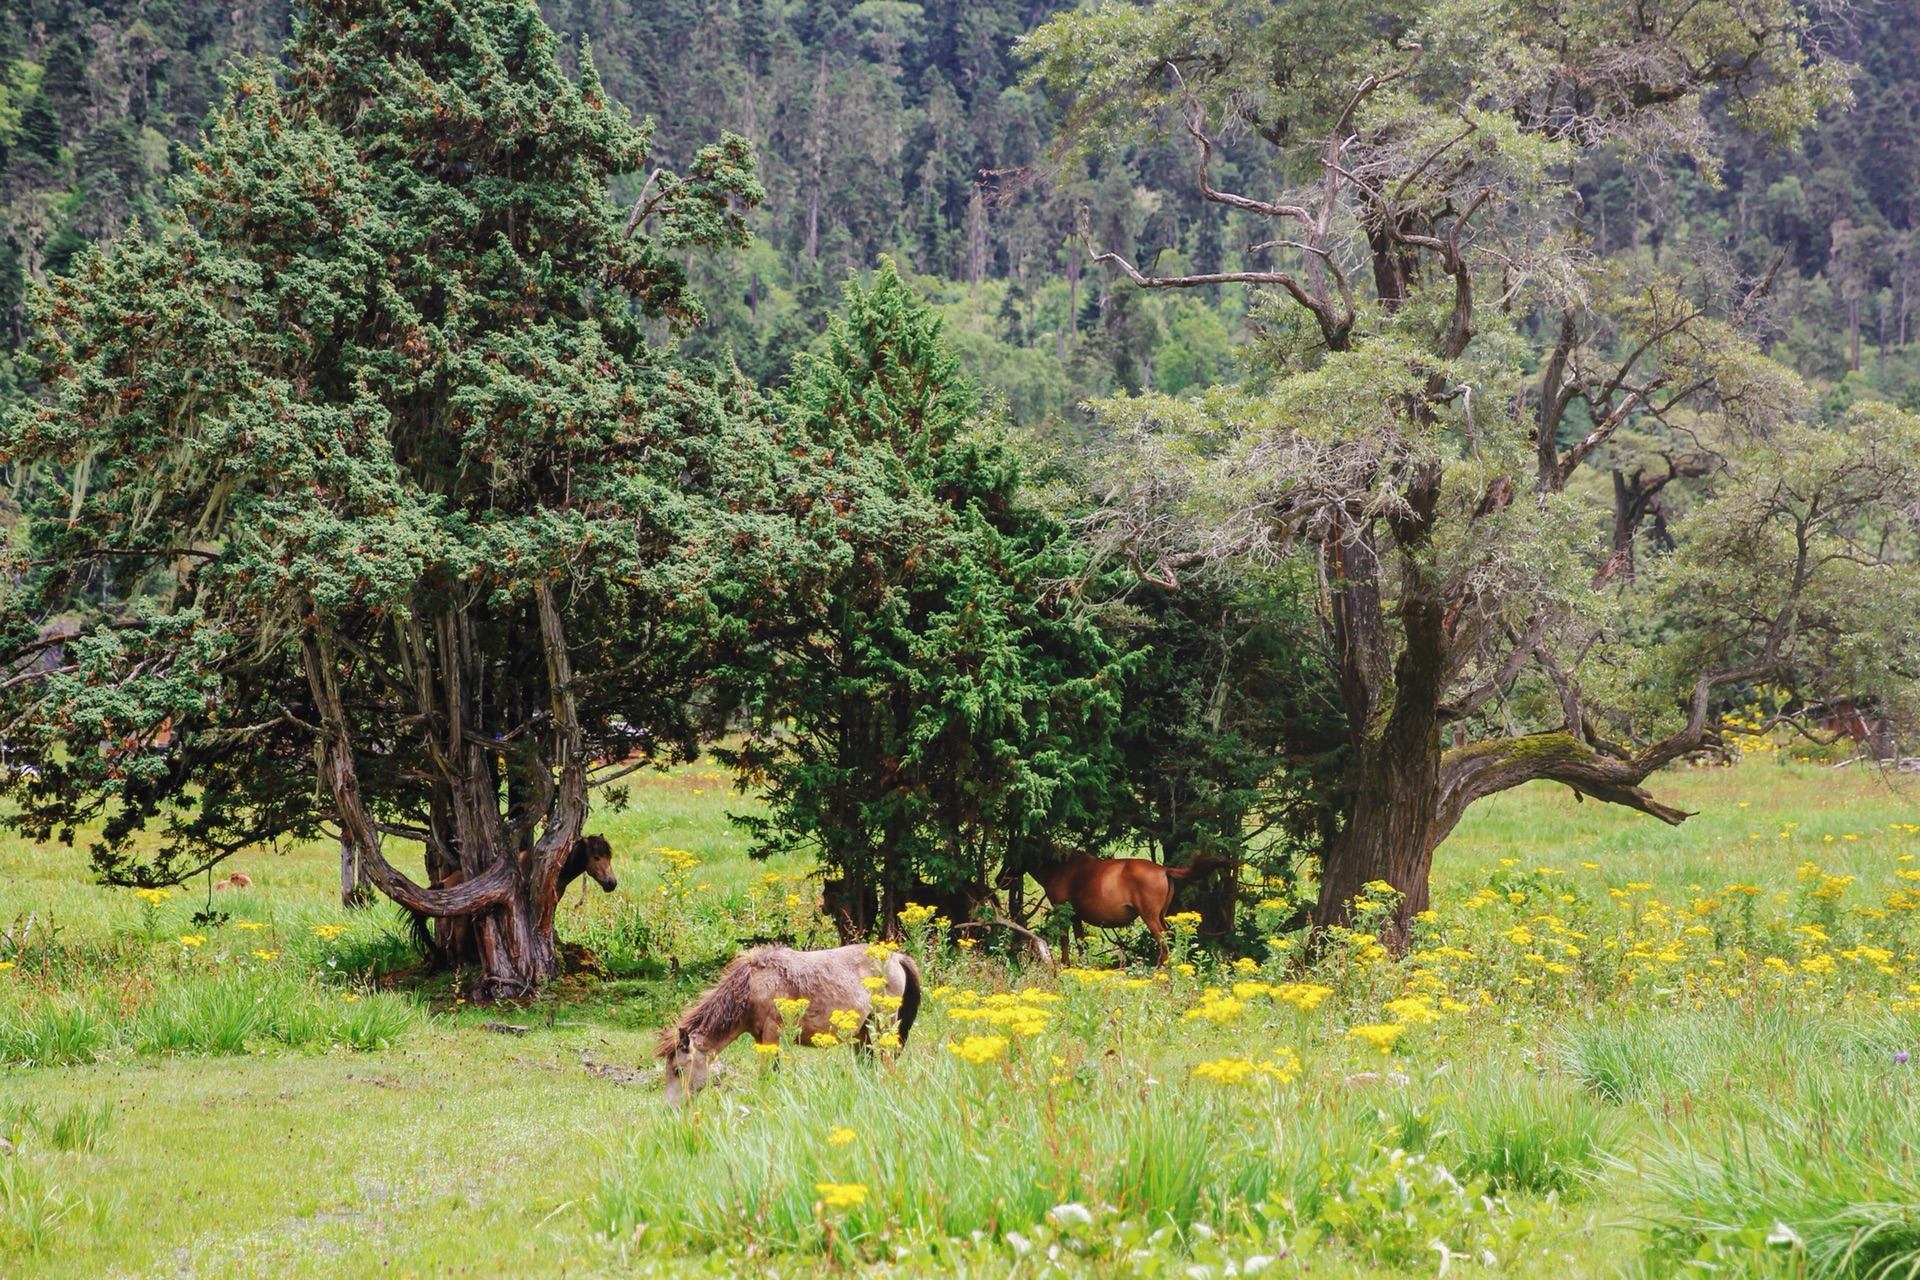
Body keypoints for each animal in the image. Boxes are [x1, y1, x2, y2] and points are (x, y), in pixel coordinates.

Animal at [660, 948, 921, 1105]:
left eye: (678, 1070)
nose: (669, 1109)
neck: (753, 986)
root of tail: (897, 957)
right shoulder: (761, 1037)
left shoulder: (771, 1032)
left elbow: (768, 1074)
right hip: (863, 1032)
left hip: (884, 1024)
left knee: (888, 1060)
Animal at [1013, 852, 1221, 959]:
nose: (1004, 878)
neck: (1059, 868)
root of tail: (1164, 870)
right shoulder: (1077, 917)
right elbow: (1080, 943)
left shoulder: (1062, 912)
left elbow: (1065, 941)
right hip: (1160, 915)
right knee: (1169, 938)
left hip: (1150, 917)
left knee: (1163, 942)